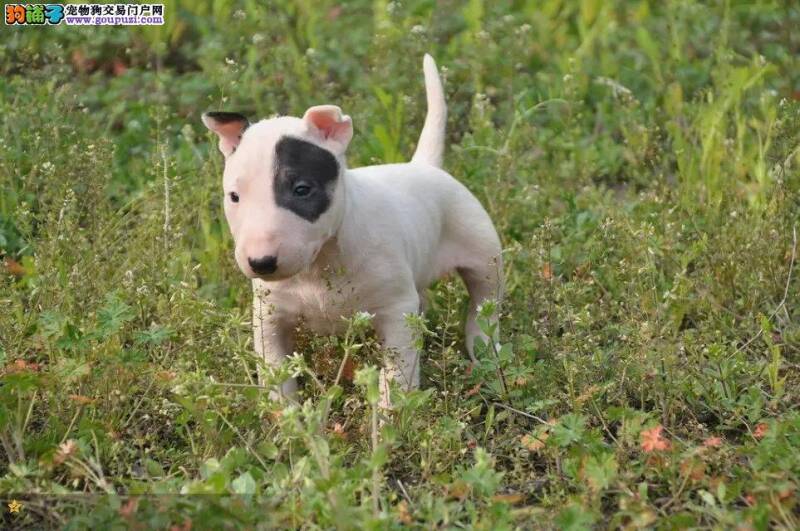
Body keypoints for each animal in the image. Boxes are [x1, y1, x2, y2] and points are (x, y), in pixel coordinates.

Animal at [202, 54, 500, 406]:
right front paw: (285, 416)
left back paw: (486, 350)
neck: (320, 264)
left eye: (302, 189)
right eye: (234, 197)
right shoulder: (269, 316)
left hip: (482, 250)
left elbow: (397, 373)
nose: (261, 263)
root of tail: (424, 166)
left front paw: (390, 414)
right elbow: (277, 373)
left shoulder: (397, 310)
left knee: (485, 301)